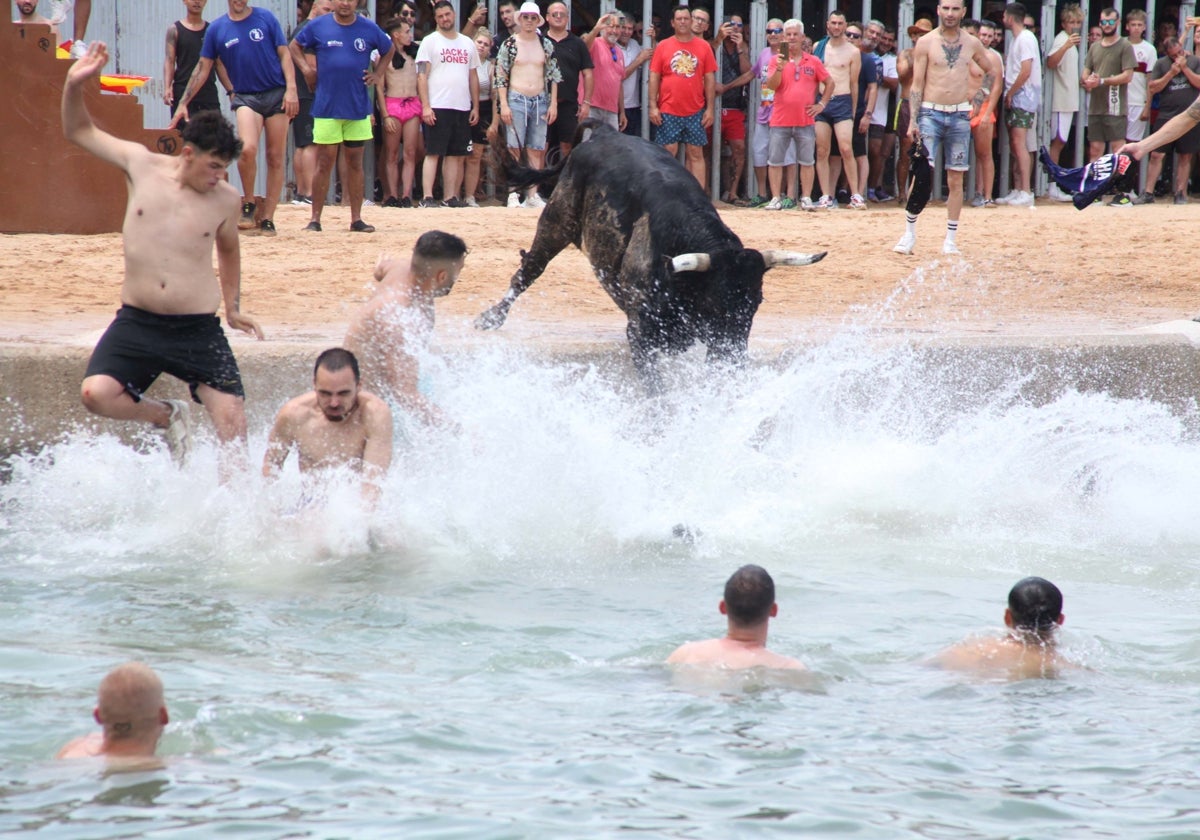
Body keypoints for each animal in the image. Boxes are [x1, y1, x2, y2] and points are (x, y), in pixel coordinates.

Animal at [475, 122, 825, 384]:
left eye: (756, 303)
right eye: (715, 302)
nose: (732, 360)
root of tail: (605, 133)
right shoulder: (641, 334)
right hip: (557, 220)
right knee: (529, 270)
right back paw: (490, 317)